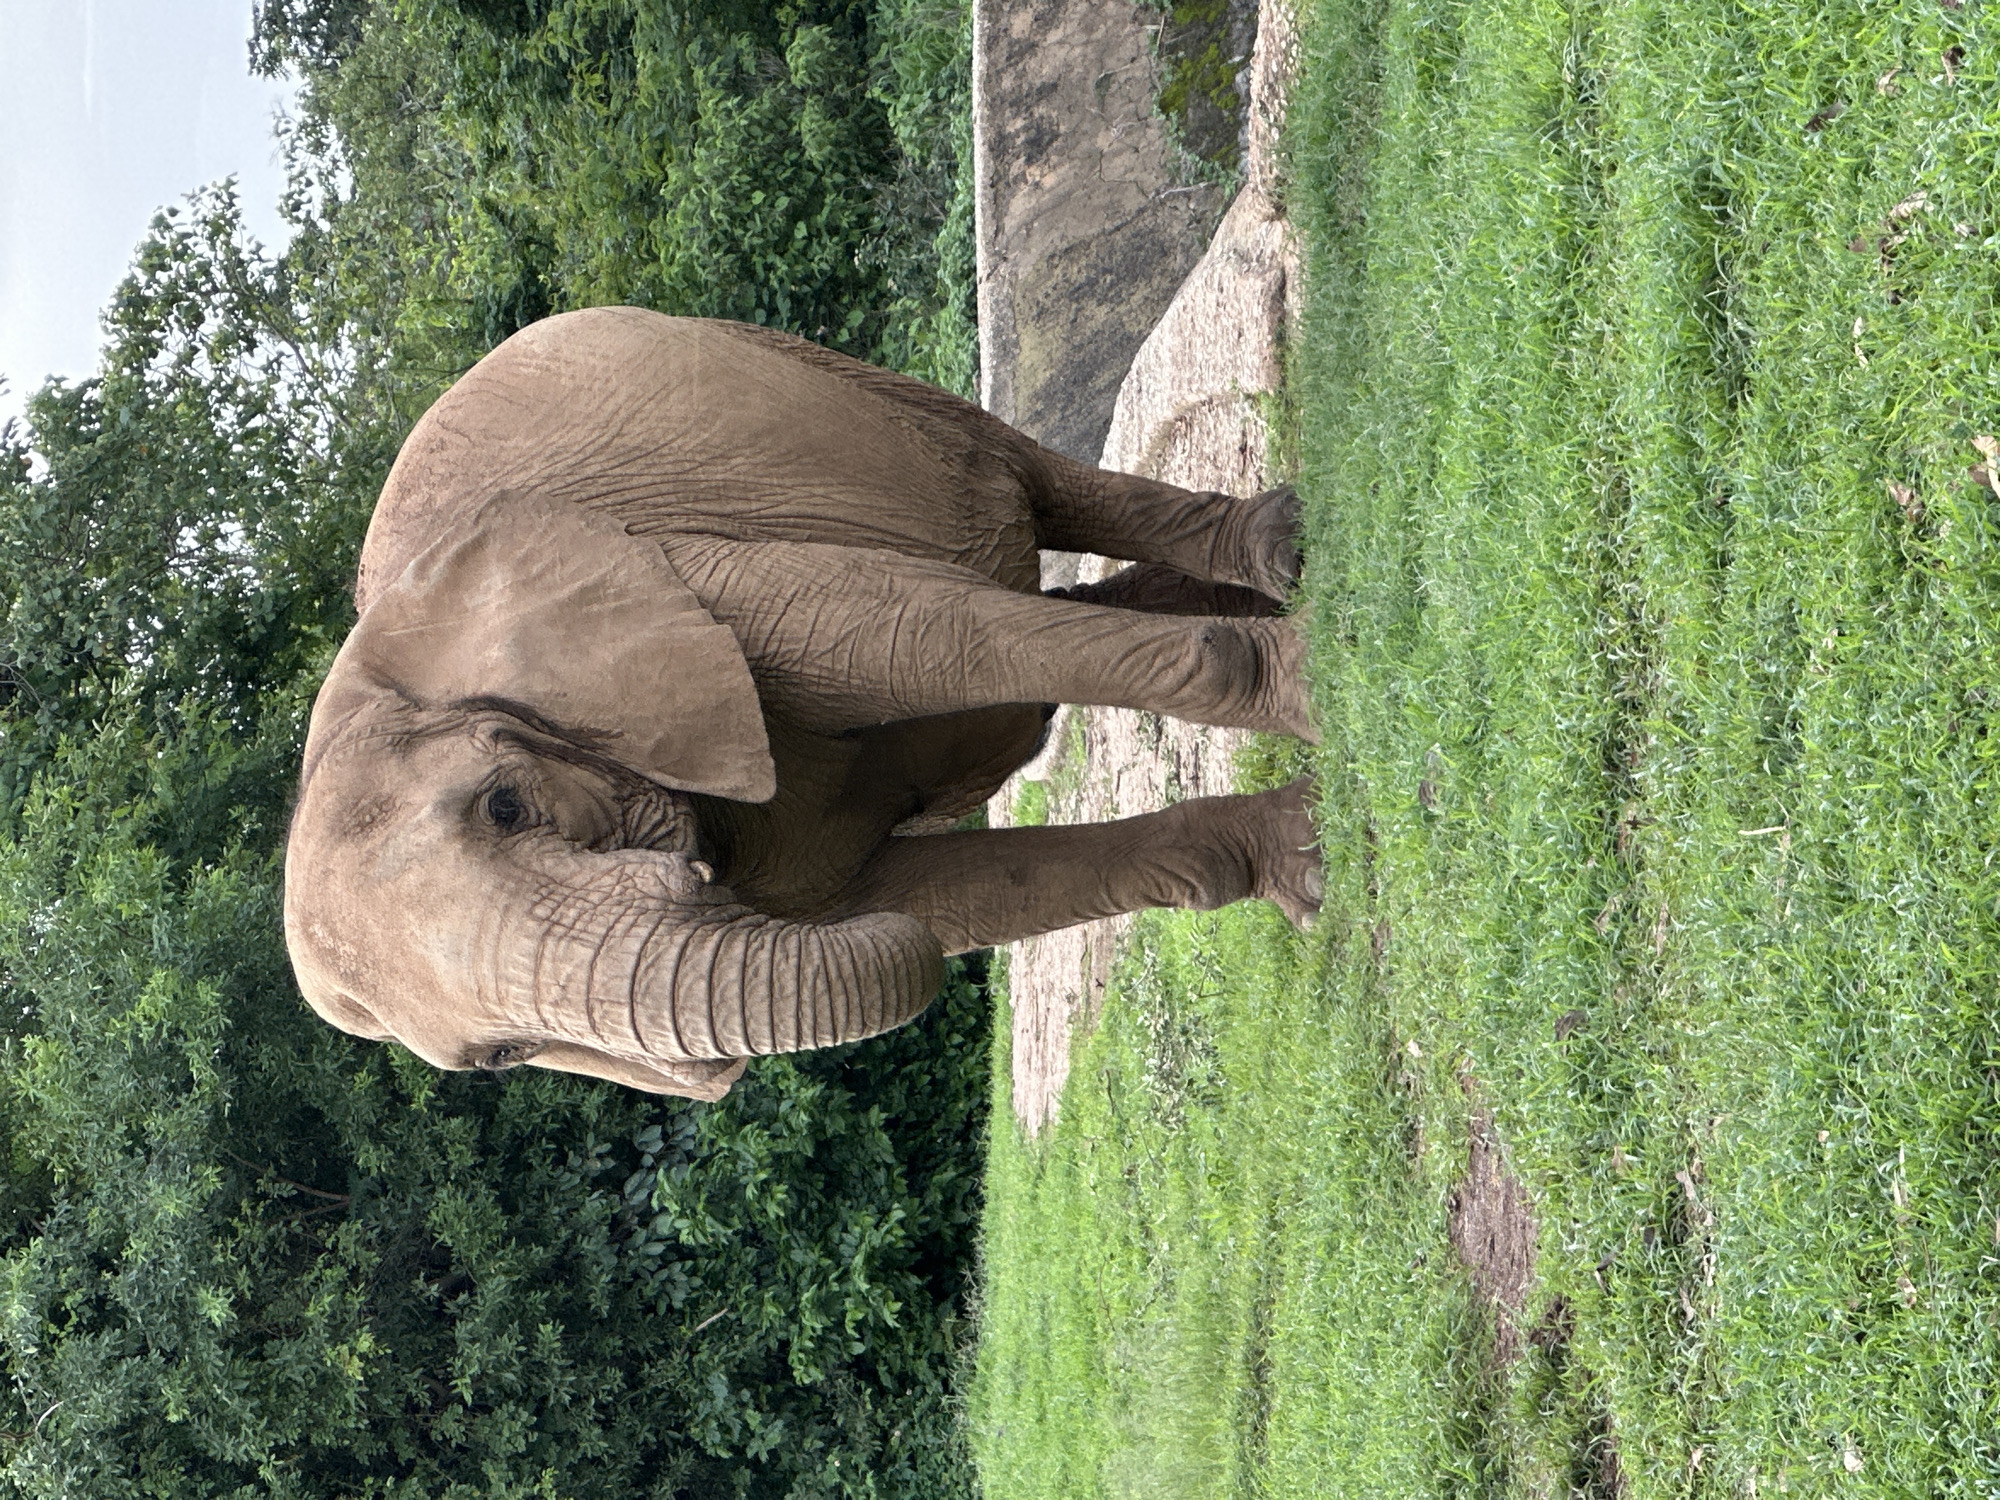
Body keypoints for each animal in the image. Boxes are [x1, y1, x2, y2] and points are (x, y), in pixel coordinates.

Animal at [283, 307, 1323, 1099]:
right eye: (500, 1058)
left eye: (505, 804)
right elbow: (938, 894)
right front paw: (1304, 856)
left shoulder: (684, 573)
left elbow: (903, 639)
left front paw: (1316, 690)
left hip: (818, 368)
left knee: (1036, 484)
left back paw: (1284, 550)